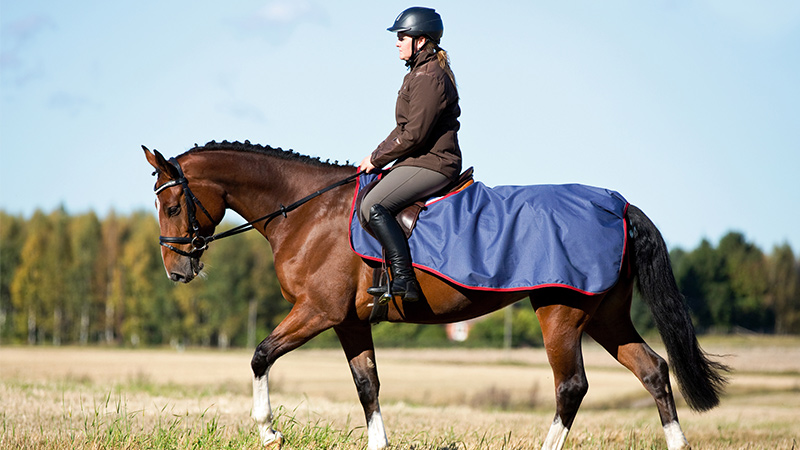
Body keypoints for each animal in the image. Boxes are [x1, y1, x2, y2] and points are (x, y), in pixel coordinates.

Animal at [143, 140, 728, 450]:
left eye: (171, 207)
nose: (176, 270)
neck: (306, 211)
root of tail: (616, 203)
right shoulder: (349, 322)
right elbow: (368, 385)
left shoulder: (316, 312)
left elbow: (261, 355)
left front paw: (269, 432)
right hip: (606, 316)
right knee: (653, 370)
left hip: (561, 313)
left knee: (572, 387)